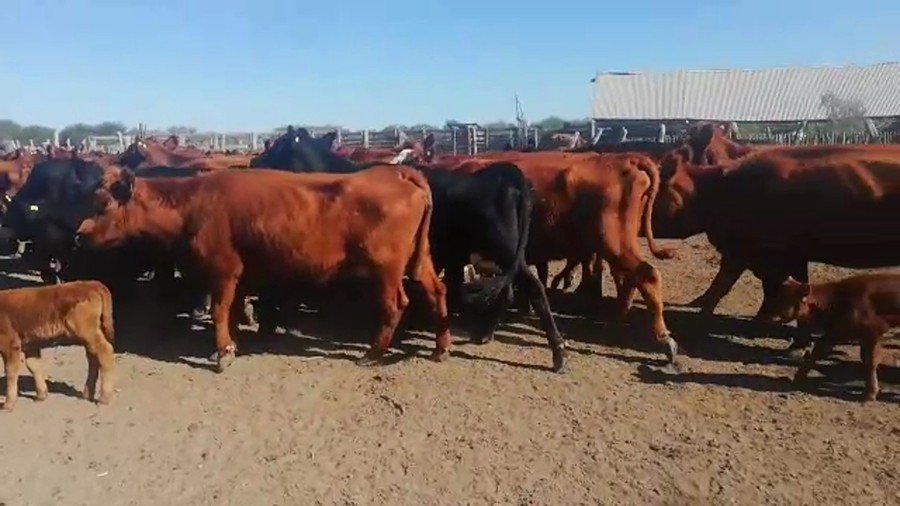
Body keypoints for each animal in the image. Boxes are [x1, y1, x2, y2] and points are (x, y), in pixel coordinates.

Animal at [0, 280, 116, 411]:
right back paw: (87, 394)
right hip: (89, 336)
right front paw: (41, 395)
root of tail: (91, 284)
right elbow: (33, 365)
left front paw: (8, 404)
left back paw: (104, 398)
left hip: (88, 332)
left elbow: (10, 372)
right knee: (93, 358)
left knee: (105, 352)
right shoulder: (31, 344)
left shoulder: (10, 343)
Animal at [73, 165, 452, 372]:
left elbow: (219, 310)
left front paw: (224, 353)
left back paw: (373, 354)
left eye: (103, 203)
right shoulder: (239, 275)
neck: (193, 205)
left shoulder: (223, 270)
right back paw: (440, 348)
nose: (78, 235)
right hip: (420, 261)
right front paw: (230, 345)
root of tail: (395, 171)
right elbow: (233, 310)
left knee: (395, 305)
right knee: (437, 291)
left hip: (384, 268)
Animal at [769, 275, 900, 402]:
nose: (766, 315)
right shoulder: (837, 332)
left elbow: (870, 361)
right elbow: (819, 351)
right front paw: (798, 378)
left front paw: (870, 394)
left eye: (784, 300)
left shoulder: (871, 334)